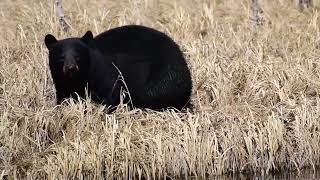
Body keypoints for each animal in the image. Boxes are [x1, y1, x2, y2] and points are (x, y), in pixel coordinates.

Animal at [43, 23, 191, 111]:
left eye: (78, 56)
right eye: (61, 57)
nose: (71, 68)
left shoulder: (109, 74)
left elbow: (112, 92)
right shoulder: (62, 84)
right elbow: (63, 97)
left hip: (165, 74)